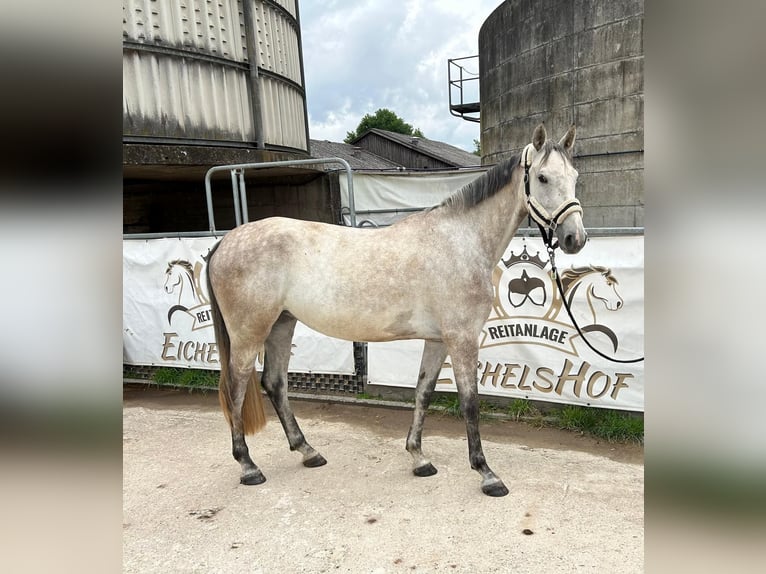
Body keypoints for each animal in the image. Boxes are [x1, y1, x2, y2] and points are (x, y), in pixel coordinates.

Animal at [206, 123, 586, 496]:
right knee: (236, 387)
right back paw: (249, 466)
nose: (575, 239)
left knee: (275, 383)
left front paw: (419, 458)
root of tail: (225, 241)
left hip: (282, 324)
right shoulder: (462, 338)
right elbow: (470, 402)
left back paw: (308, 452)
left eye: (574, 176)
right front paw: (486, 473)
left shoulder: (439, 340)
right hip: (249, 333)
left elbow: (424, 392)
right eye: (542, 178)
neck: (460, 241)